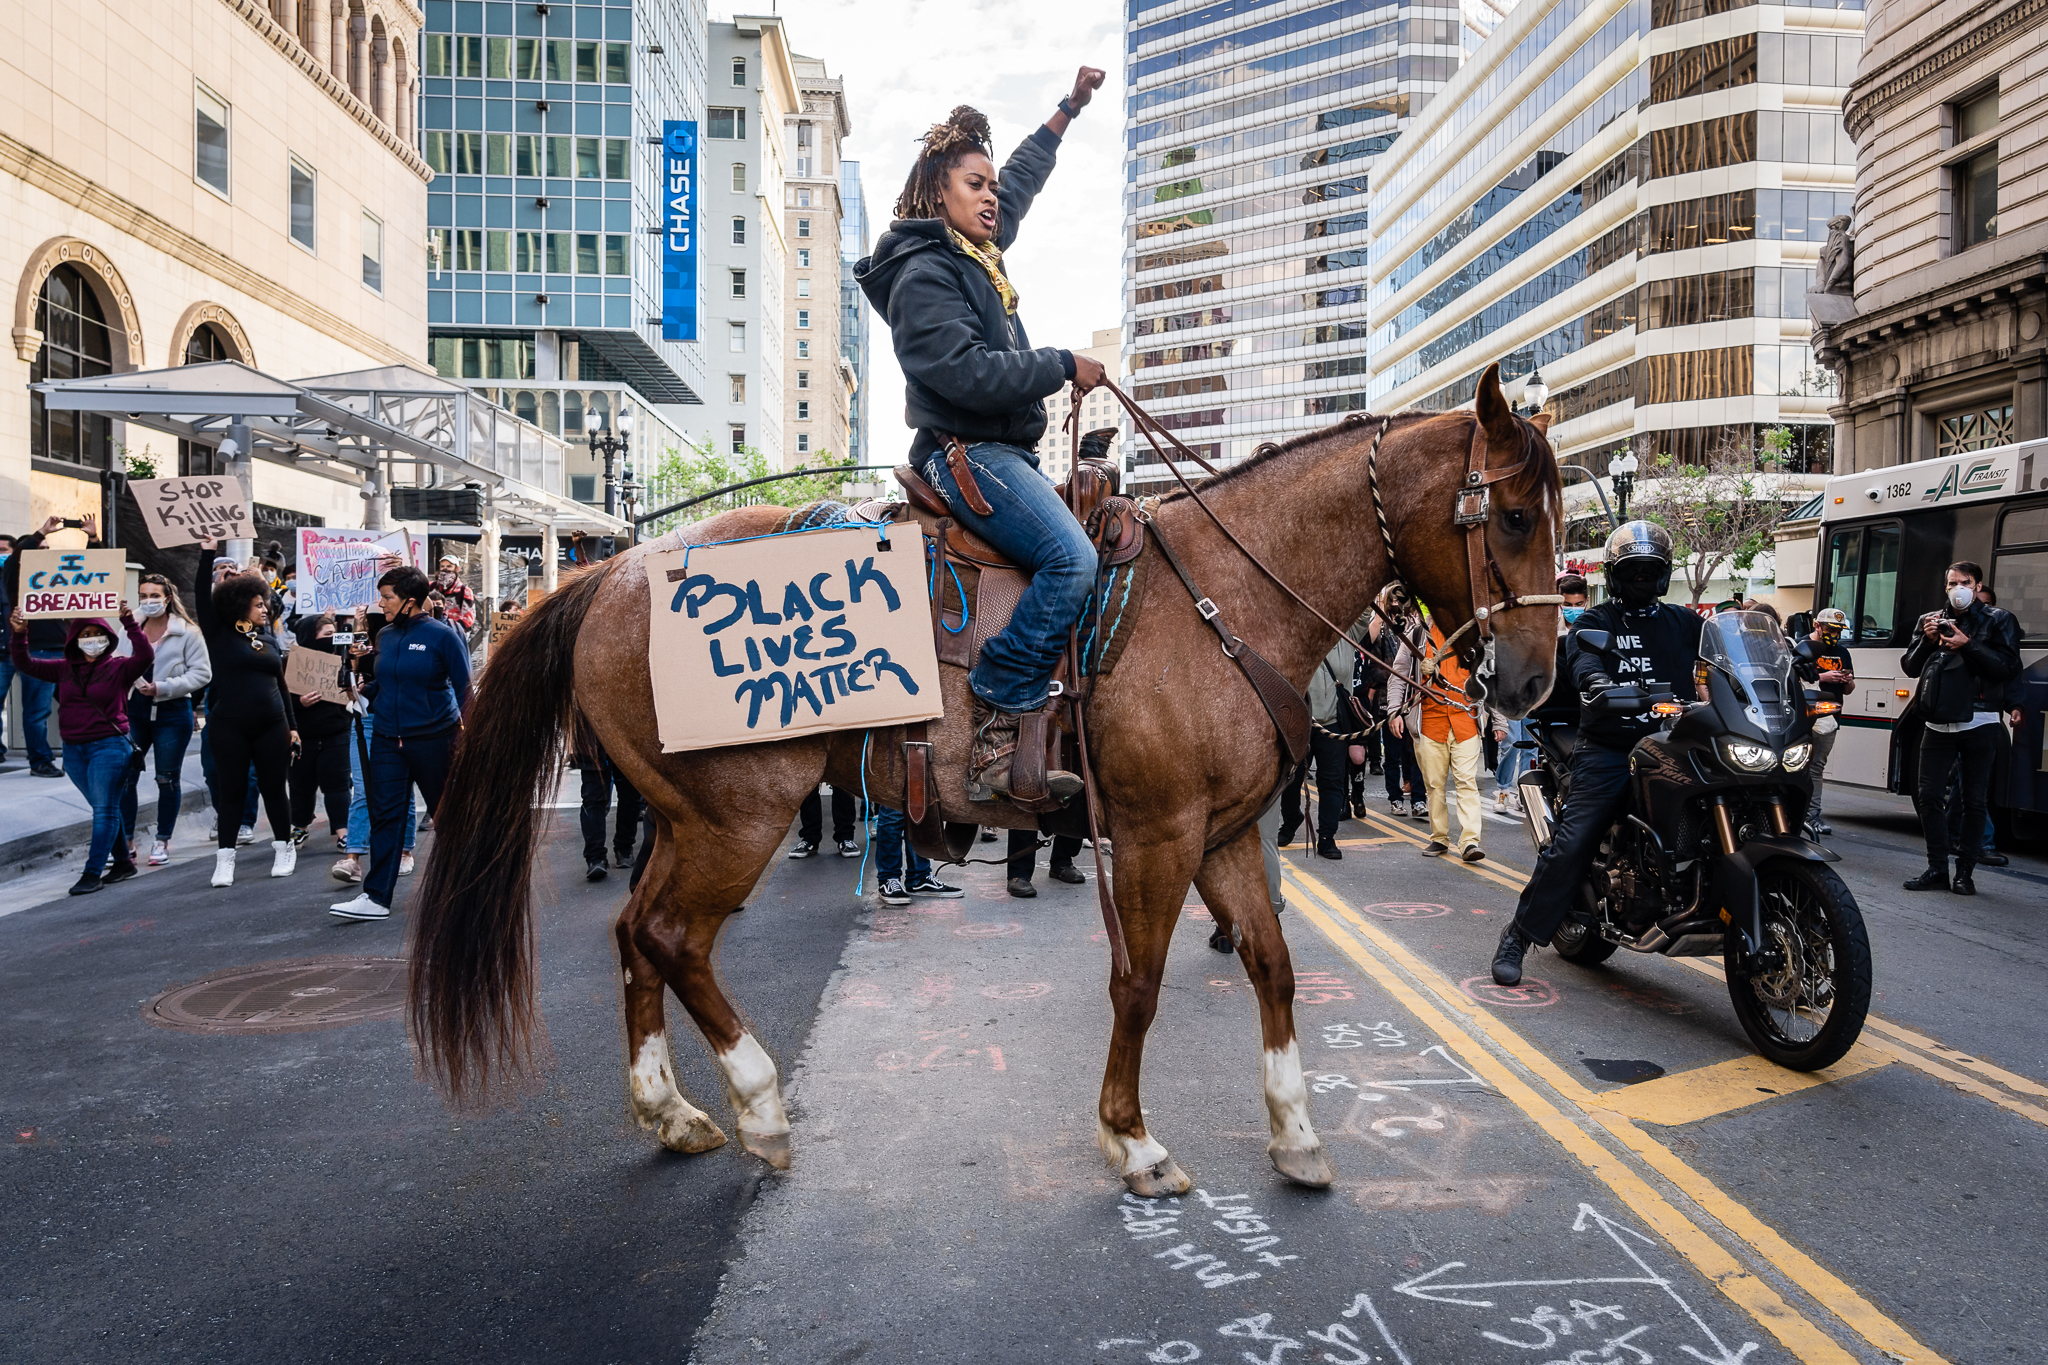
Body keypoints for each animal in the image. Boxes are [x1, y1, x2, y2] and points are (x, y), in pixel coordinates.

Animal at [407, 362, 1556, 1195]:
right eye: (1508, 518)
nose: (1535, 682)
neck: (1224, 599)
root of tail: (611, 570)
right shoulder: (1157, 834)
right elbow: (1136, 983)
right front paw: (1132, 1141)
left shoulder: (1224, 832)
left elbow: (1272, 968)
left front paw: (1295, 1131)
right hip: (739, 811)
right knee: (672, 938)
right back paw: (760, 1107)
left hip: (684, 814)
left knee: (635, 936)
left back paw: (672, 1112)